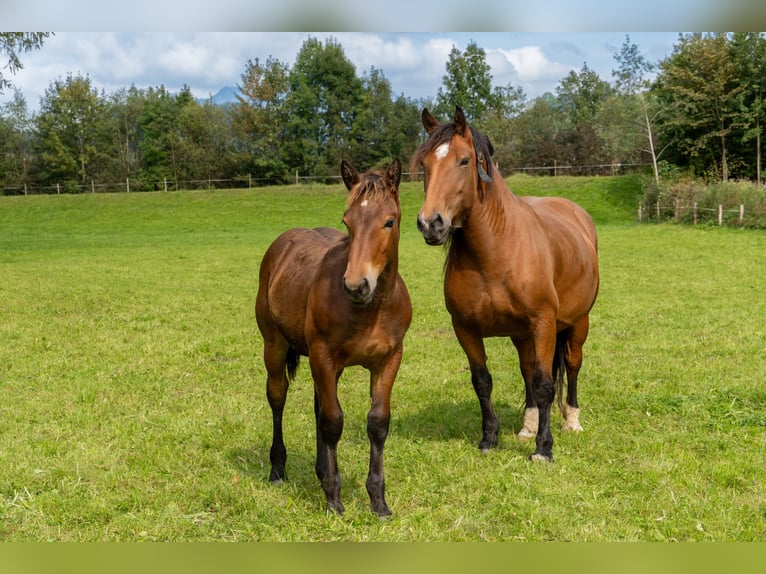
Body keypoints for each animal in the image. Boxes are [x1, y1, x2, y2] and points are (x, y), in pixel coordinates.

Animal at [256, 159, 414, 516]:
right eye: (347, 221)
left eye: (389, 221)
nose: (357, 285)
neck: (370, 310)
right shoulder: (322, 356)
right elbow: (332, 422)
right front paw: (333, 499)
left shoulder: (389, 360)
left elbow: (377, 423)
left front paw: (378, 501)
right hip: (275, 346)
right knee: (278, 397)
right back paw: (278, 469)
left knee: (317, 406)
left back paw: (319, 470)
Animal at [412, 106, 604, 462]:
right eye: (424, 164)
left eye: (464, 160)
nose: (430, 223)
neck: (496, 252)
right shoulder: (465, 329)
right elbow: (483, 382)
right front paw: (490, 438)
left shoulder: (543, 323)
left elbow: (545, 384)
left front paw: (543, 448)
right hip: (521, 334)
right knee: (527, 369)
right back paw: (527, 427)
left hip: (577, 322)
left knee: (571, 364)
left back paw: (571, 420)